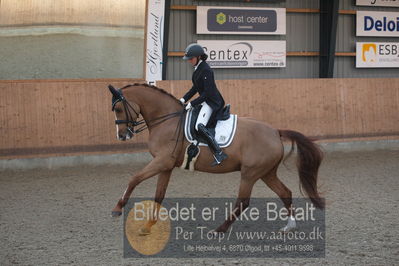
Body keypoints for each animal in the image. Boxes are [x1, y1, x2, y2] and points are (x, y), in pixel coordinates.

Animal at [108, 84, 324, 234]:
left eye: (118, 109)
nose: (122, 136)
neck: (167, 119)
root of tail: (275, 131)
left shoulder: (161, 161)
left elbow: (134, 178)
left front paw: (118, 208)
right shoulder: (166, 166)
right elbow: (159, 195)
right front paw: (148, 225)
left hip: (250, 174)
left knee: (243, 202)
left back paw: (219, 230)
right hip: (266, 173)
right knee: (285, 193)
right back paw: (290, 226)